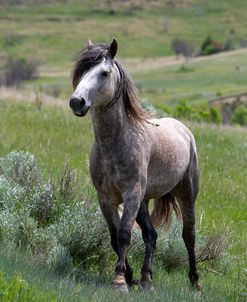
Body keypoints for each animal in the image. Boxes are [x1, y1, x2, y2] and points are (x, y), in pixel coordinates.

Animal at [69, 37, 201, 292]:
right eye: (81, 73)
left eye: (104, 73)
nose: (76, 102)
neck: (115, 144)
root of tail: (183, 129)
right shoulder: (106, 198)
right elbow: (114, 237)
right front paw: (129, 276)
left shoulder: (131, 194)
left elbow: (124, 234)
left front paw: (120, 281)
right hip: (144, 201)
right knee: (151, 235)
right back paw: (147, 279)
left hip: (185, 195)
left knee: (188, 235)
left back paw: (195, 282)